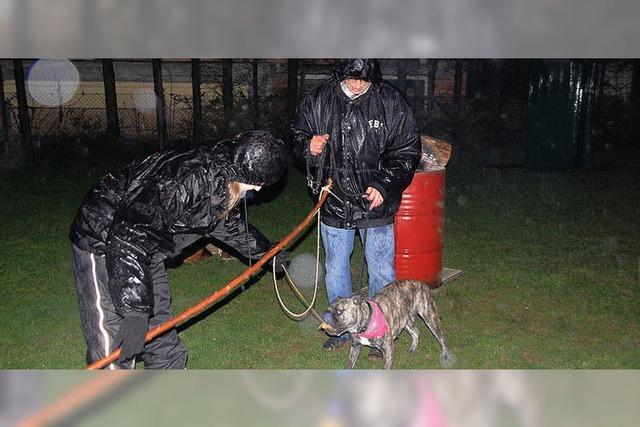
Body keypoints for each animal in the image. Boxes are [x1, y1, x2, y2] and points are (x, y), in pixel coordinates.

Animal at [318, 280, 450, 370]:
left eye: (339, 311)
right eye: (328, 309)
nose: (325, 316)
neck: (366, 322)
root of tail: (420, 283)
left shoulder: (388, 351)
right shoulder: (355, 347)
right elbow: (350, 364)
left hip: (430, 318)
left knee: (442, 338)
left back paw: (446, 356)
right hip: (405, 321)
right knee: (416, 333)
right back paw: (412, 349)